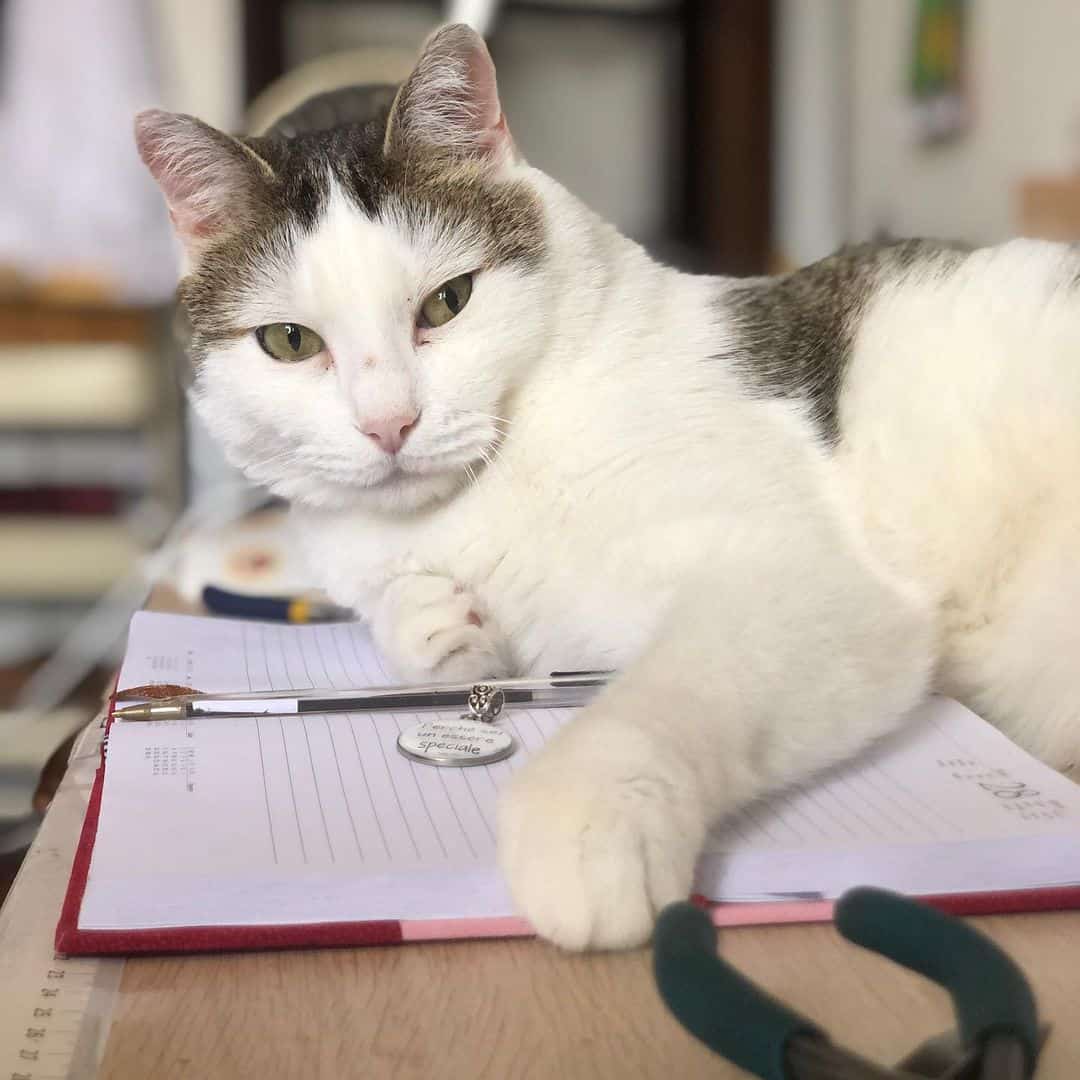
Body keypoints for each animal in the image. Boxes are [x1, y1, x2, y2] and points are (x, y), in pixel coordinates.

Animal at [135, 23, 1080, 954]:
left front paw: (580, 825)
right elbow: (401, 614)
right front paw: (435, 620)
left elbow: (659, 697)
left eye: (448, 301)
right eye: (290, 342)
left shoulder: (806, 585)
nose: (388, 424)